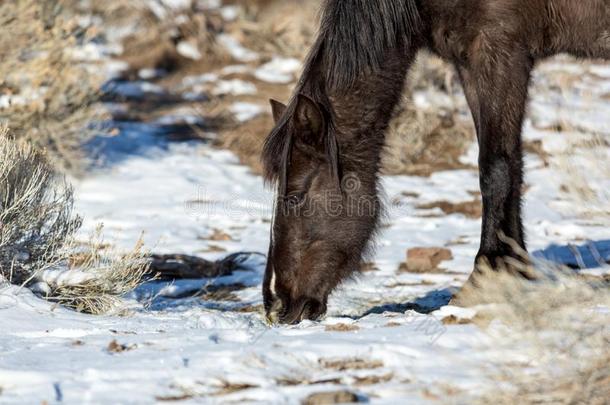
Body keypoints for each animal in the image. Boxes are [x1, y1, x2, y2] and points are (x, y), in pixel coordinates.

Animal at [260, 0, 608, 322]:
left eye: (295, 196)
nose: (277, 304)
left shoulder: (498, 50)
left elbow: (495, 169)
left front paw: (484, 278)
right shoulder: (470, 63)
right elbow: (512, 164)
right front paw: (513, 272)